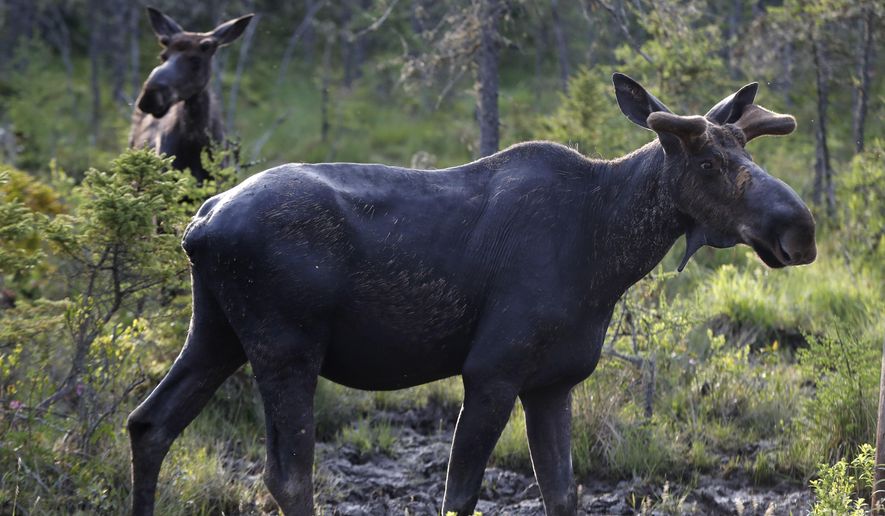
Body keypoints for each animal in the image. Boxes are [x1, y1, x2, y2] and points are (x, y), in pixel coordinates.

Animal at [127, 74, 816, 516]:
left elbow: (563, 493)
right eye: (707, 164)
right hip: (285, 348)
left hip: (216, 334)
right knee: (289, 477)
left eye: (744, 148)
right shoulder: (492, 371)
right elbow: (459, 495)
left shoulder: (553, 382)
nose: (800, 228)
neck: (608, 254)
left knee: (148, 424)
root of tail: (199, 225)